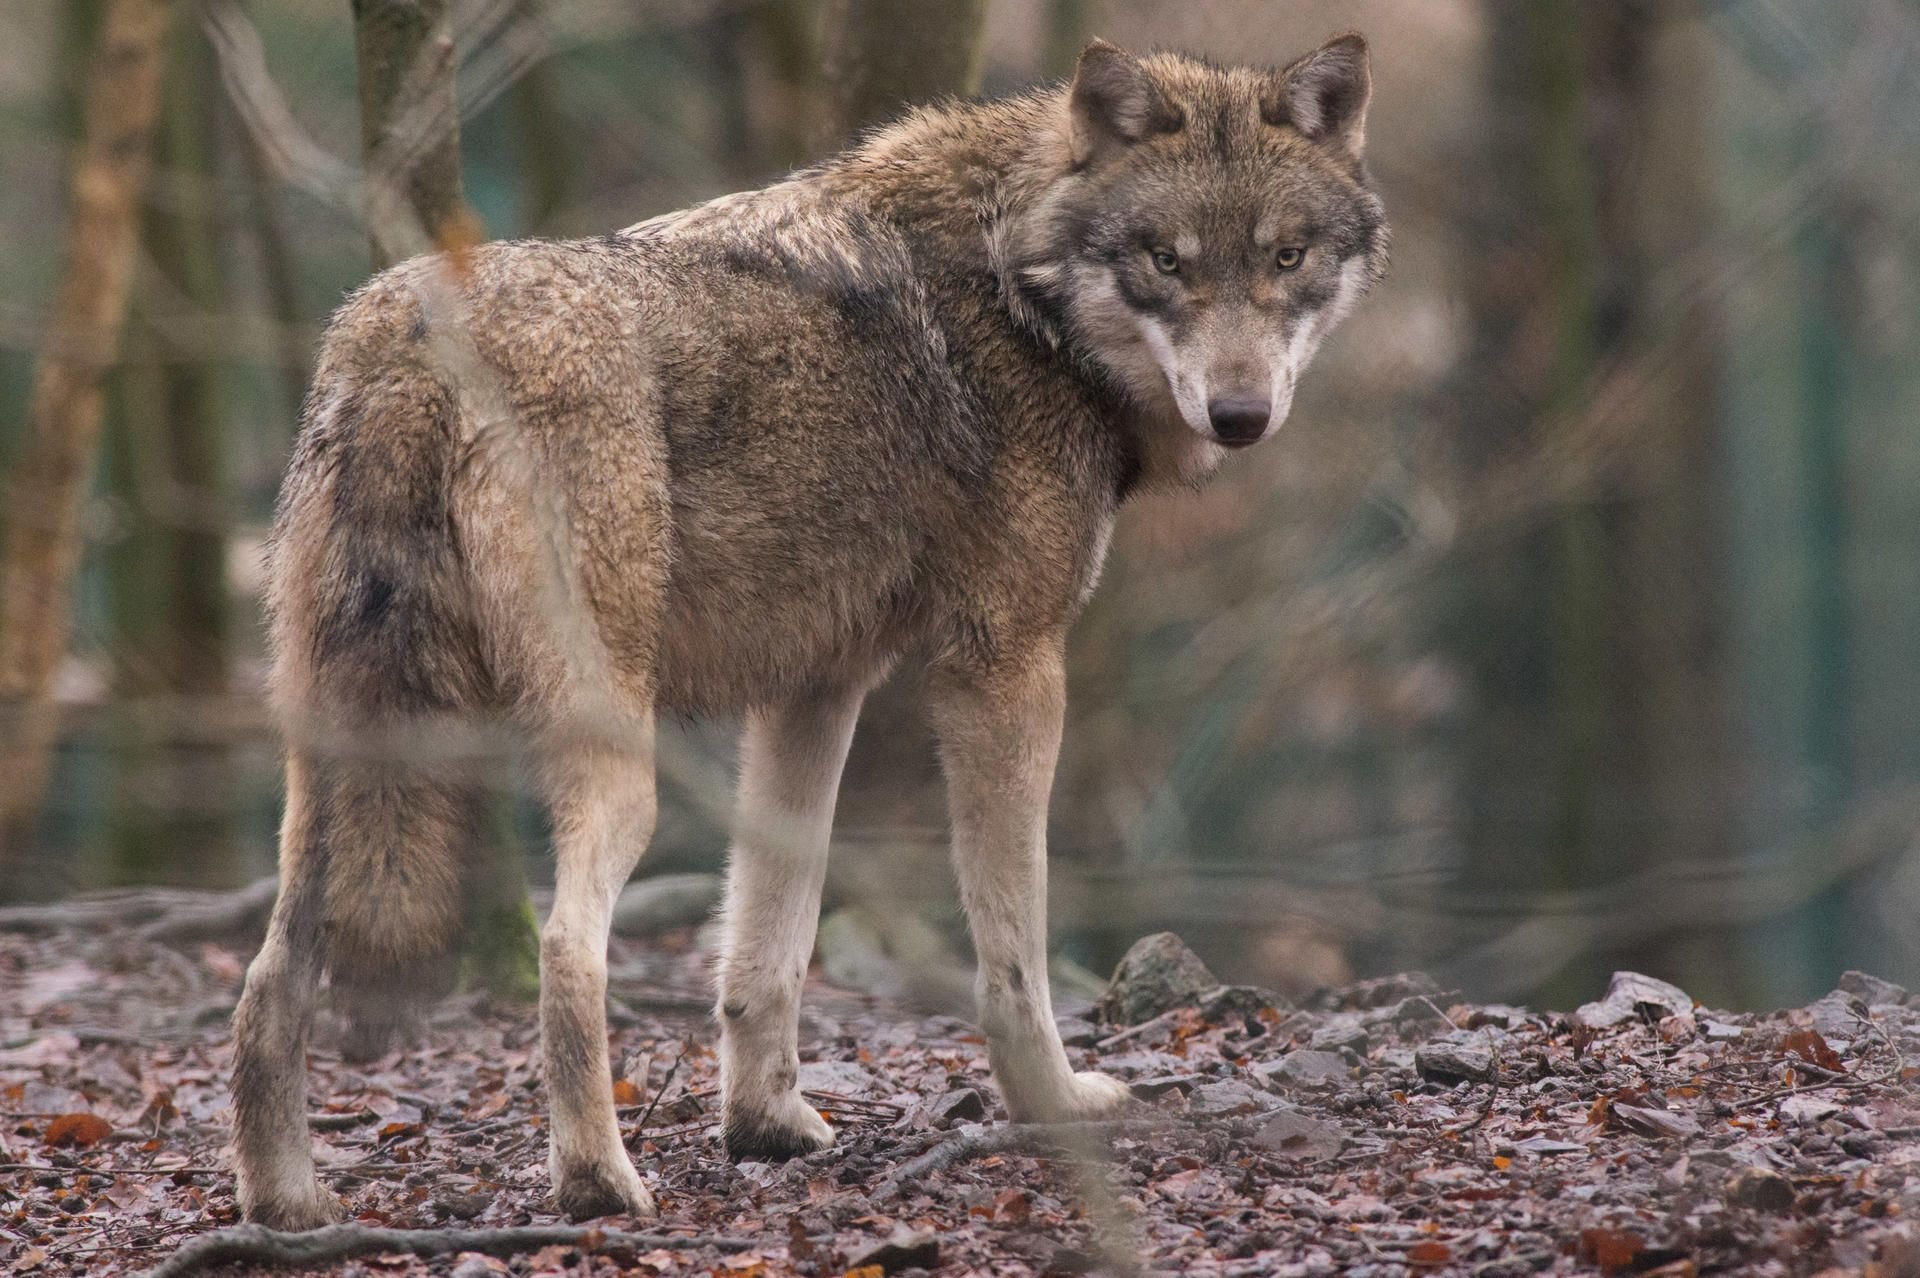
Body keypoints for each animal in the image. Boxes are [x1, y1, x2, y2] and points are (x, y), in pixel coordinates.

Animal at [229, 33, 1388, 1227]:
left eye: (1287, 256)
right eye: (1166, 260)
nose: (1241, 417)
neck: (1022, 290)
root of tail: (403, 336)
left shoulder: (816, 688)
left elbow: (767, 943)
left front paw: (766, 1124)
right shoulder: (1006, 668)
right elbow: (1014, 950)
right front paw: (1055, 1104)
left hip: (333, 764)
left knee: (268, 981)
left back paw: (286, 1208)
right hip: (614, 758)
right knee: (564, 952)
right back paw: (599, 1184)